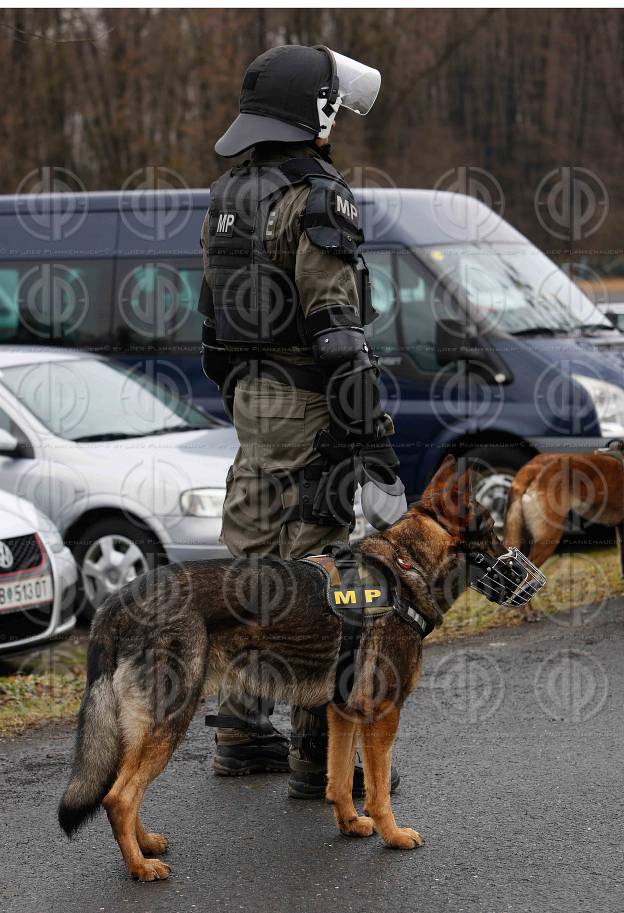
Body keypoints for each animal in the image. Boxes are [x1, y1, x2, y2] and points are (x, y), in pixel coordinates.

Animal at [59, 454, 508, 876]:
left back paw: (146, 844)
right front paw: (393, 835)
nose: (515, 560)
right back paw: (140, 868)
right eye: (490, 529)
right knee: (118, 797)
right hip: (169, 721)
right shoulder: (380, 715)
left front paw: (349, 824)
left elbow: (338, 781)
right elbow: (378, 792)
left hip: (141, 729)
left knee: (119, 790)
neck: (405, 564)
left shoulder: (343, 713)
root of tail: (117, 601)